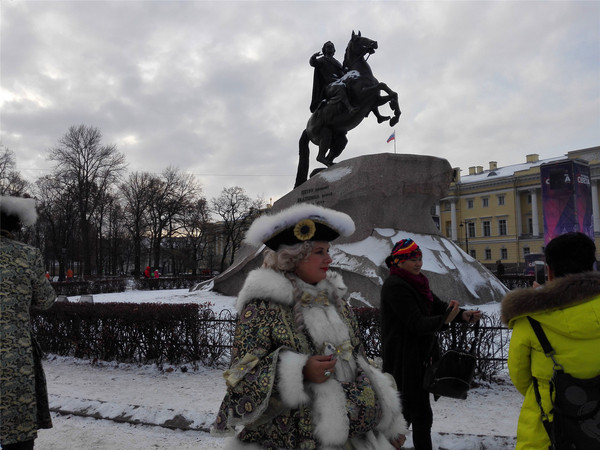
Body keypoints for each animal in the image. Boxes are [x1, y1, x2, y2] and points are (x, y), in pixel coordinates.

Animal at [294, 30, 400, 187]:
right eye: (359, 39)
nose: (374, 43)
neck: (359, 73)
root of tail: (306, 129)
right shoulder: (363, 96)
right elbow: (382, 84)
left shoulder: (374, 100)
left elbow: (392, 93)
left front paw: (394, 117)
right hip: (325, 134)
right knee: (320, 157)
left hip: (339, 140)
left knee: (328, 156)